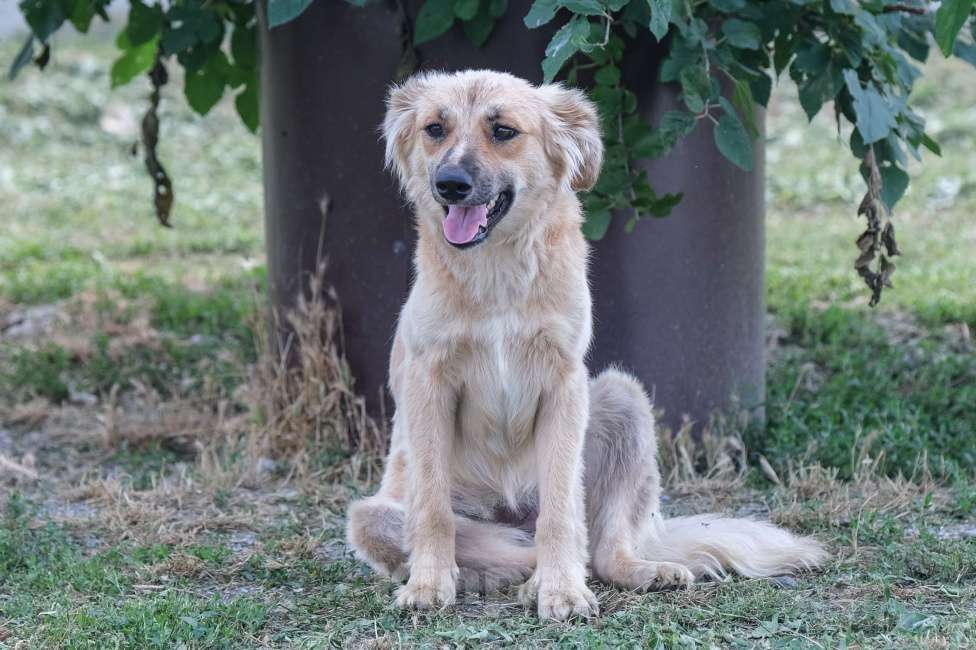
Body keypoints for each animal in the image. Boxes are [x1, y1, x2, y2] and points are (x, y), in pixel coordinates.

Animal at [348, 68, 824, 620]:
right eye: (434, 129)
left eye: (503, 131)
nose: (449, 184)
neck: (498, 274)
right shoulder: (429, 384)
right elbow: (433, 510)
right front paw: (428, 583)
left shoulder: (563, 383)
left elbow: (560, 513)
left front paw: (562, 590)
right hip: (372, 515)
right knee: (494, 545)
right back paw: (508, 575)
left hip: (622, 397)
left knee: (600, 548)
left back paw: (624, 571)